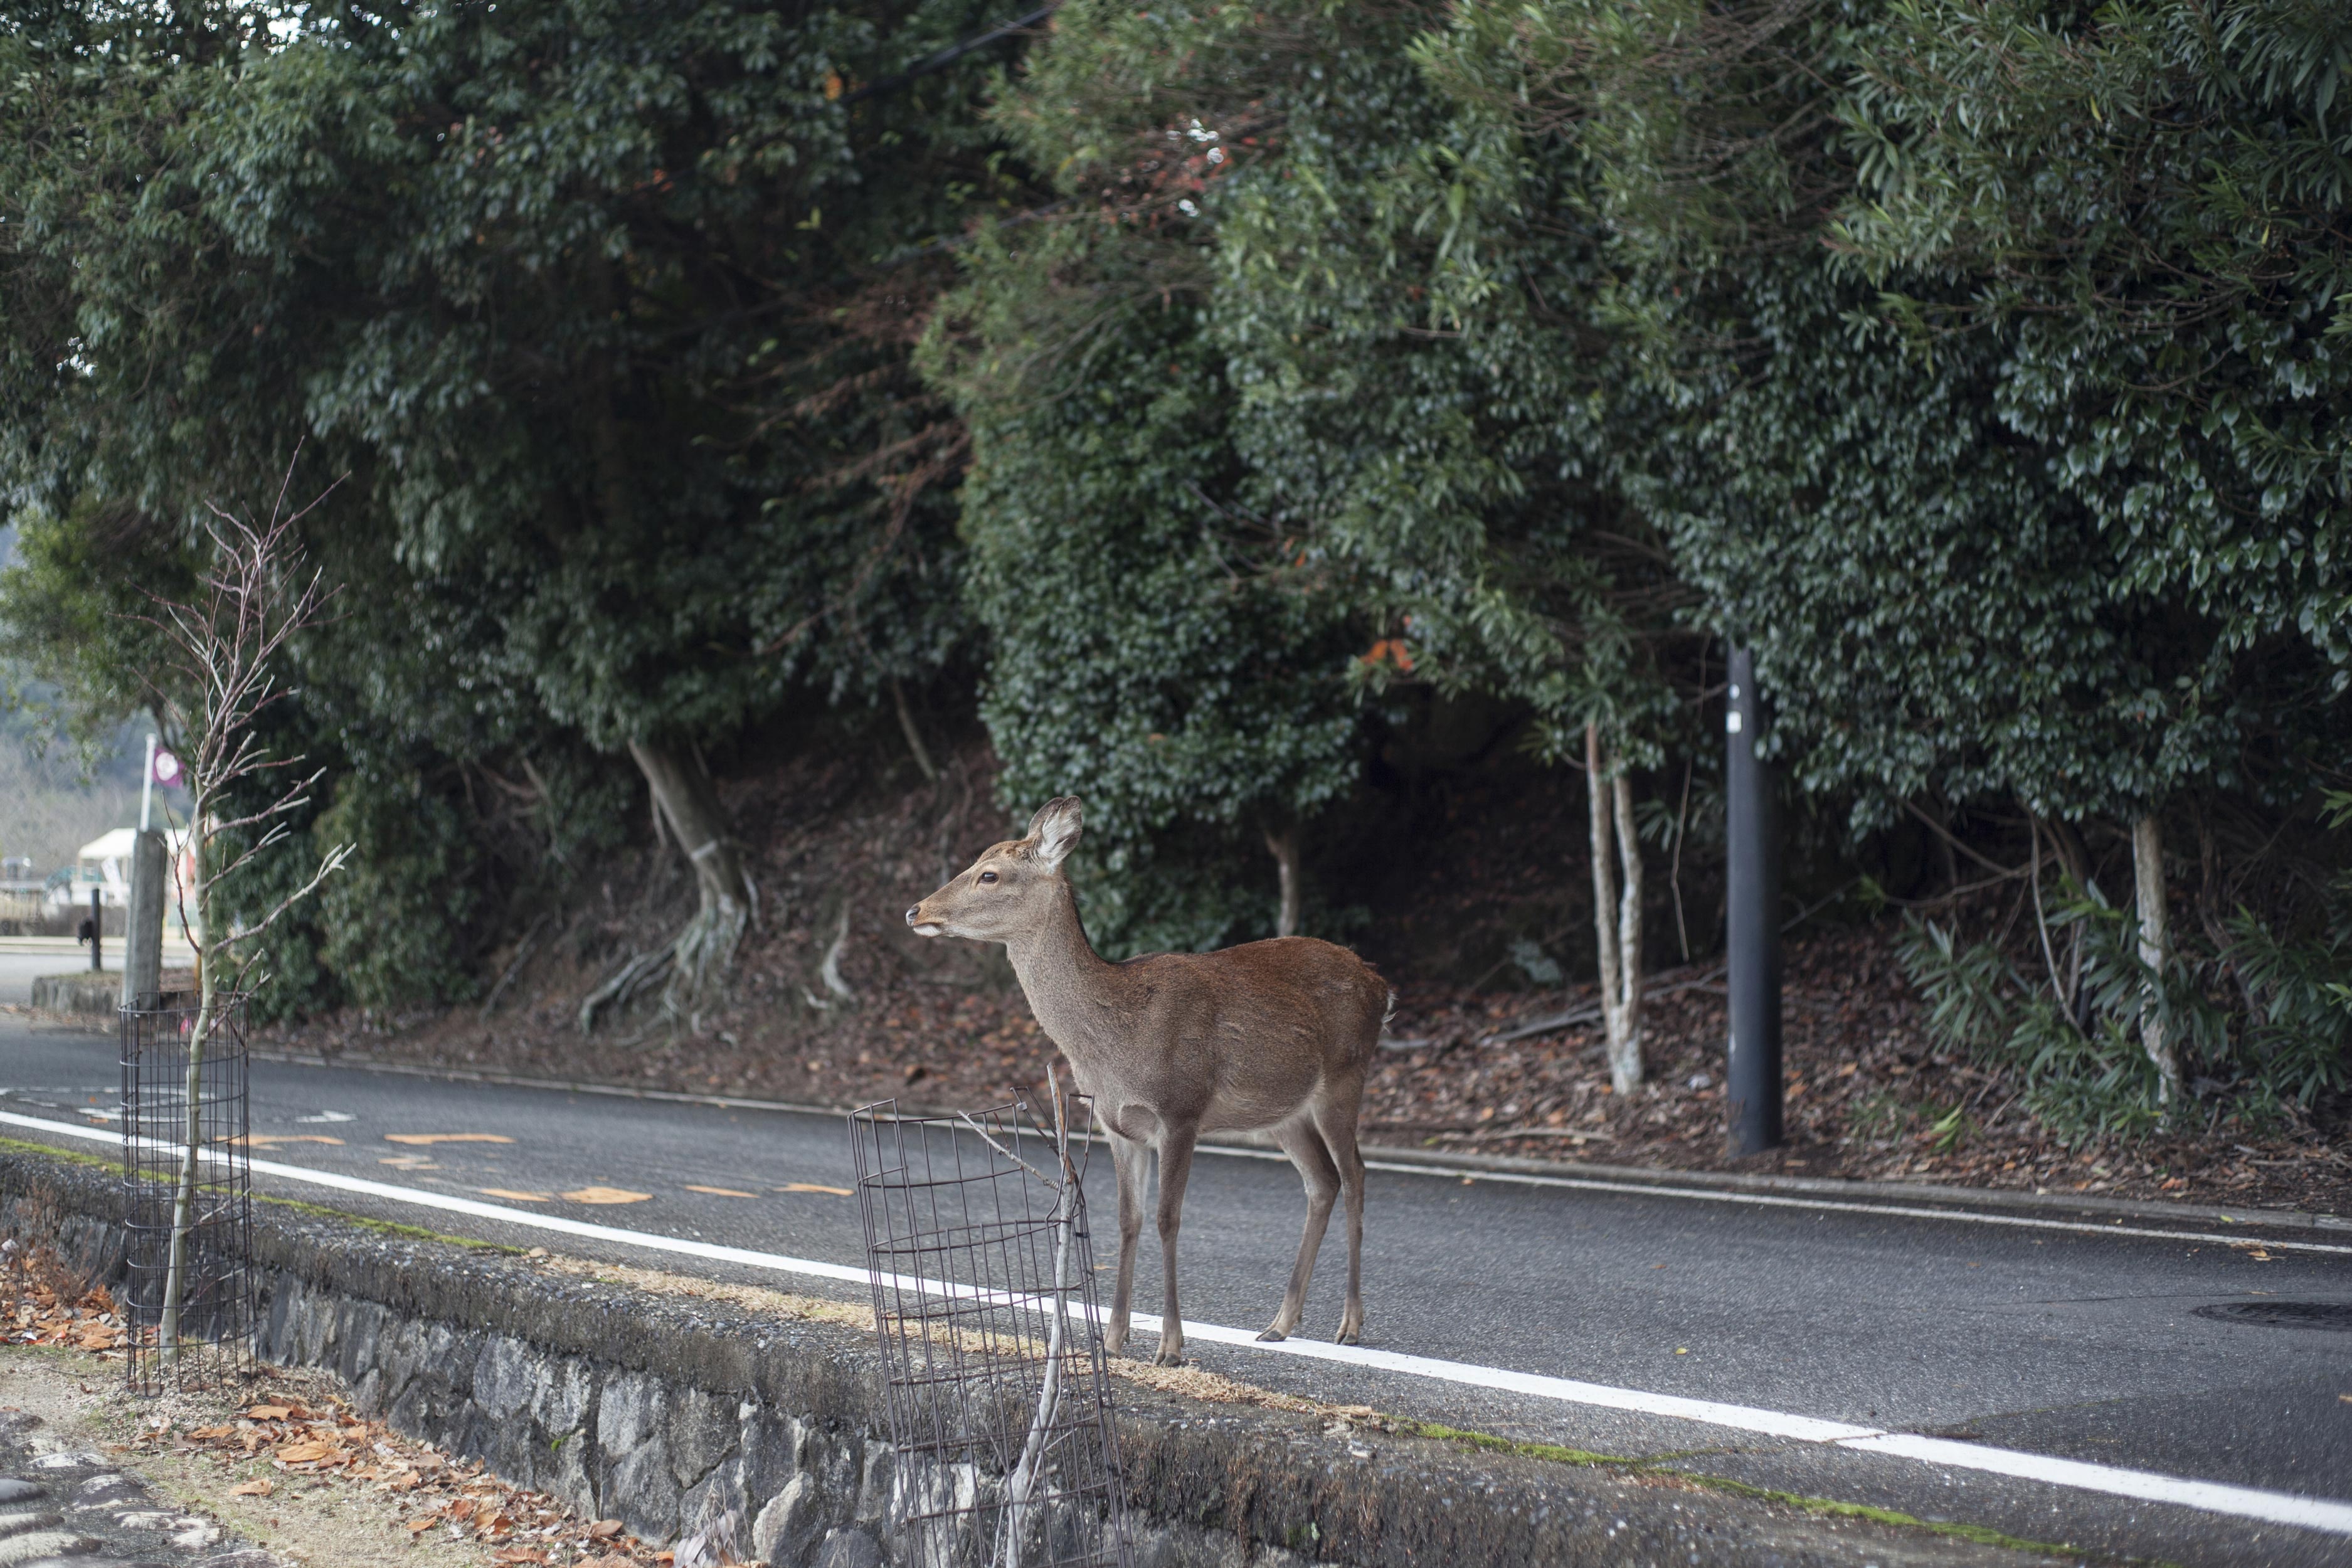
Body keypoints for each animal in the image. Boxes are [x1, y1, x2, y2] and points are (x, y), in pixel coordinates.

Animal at [894, 799, 1374, 1363]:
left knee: (1356, 1175)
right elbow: (1128, 1219)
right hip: (1282, 1113)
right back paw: (1279, 1323)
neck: (1115, 1046)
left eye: (988, 874)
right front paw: (1113, 1338)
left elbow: (1168, 1218)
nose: (915, 911)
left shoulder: (1181, 1110)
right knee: (1323, 1181)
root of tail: (1381, 985)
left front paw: (1170, 1346)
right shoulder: (1117, 1126)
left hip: (1345, 1076)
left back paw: (1350, 1324)